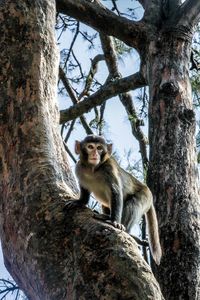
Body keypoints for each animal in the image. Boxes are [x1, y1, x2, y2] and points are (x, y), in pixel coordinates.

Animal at [68, 135, 161, 264]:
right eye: (90, 147)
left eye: (99, 148)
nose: (95, 154)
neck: (93, 169)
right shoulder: (79, 167)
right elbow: (84, 189)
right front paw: (80, 201)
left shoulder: (109, 168)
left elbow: (116, 192)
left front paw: (115, 221)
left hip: (145, 196)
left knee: (134, 203)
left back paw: (125, 229)